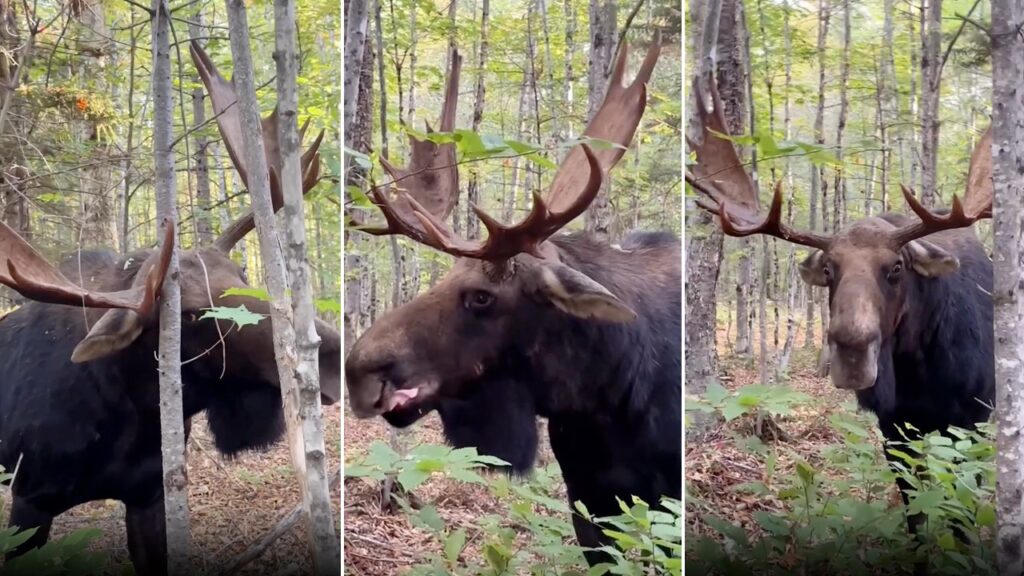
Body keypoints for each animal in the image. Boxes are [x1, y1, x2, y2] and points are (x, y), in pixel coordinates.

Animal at [0, 42, 344, 569]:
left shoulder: (150, 495)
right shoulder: (28, 500)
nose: (332, 353)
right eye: (189, 314)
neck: (127, 413)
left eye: (243, 275)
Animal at [684, 76, 995, 532]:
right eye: (830, 269)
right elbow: (914, 508)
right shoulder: (895, 425)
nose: (850, 352)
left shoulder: (973, 419)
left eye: (896, 267)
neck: (920, 369)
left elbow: (961, 511)